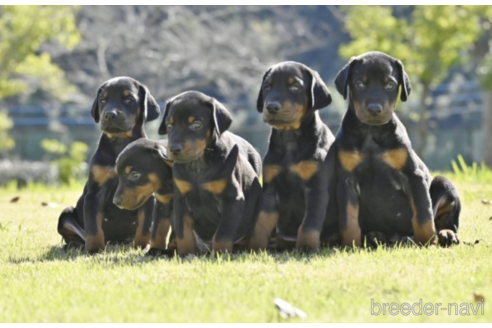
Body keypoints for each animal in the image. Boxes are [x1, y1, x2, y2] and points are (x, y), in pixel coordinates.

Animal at [57, 77, 160, 254]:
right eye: (103, 100)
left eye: (129, 99)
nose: (110, 114)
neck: (120, 142)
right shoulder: (95, 192)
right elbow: (93, 227)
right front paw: (94, 249)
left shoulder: (147, 194)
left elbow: (145, 226)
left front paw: (141, 247)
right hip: (66, 214)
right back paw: (79, 246)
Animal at [160, 90, 264, 256]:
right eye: (169, 125)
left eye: (197, 124)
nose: (174, 149)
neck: (198, 163)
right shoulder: (181, 200)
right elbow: (184, 233)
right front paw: (186, 255)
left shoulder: (232, 199)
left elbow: (223, 233)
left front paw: (221, 255)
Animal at [248, 62, 336, 251]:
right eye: (267, 87)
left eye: (295, 87)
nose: (271, 107)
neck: (289, 139)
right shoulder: (269, 190)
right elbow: (260, 223)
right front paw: (255, 248)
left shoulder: (316, 188)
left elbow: (309, 224)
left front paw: (307, 247)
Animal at [330, 50, 462, 246]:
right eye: (360, 84)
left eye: (390, 85)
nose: (375, 109)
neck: (371, 131)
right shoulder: (347, 180)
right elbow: (349, 220)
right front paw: (350, 245)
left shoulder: (414, 175)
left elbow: (424, 216)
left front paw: (427, 243)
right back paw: (375, 236)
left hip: (444, 184)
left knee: (444, 220)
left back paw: (446, 234)